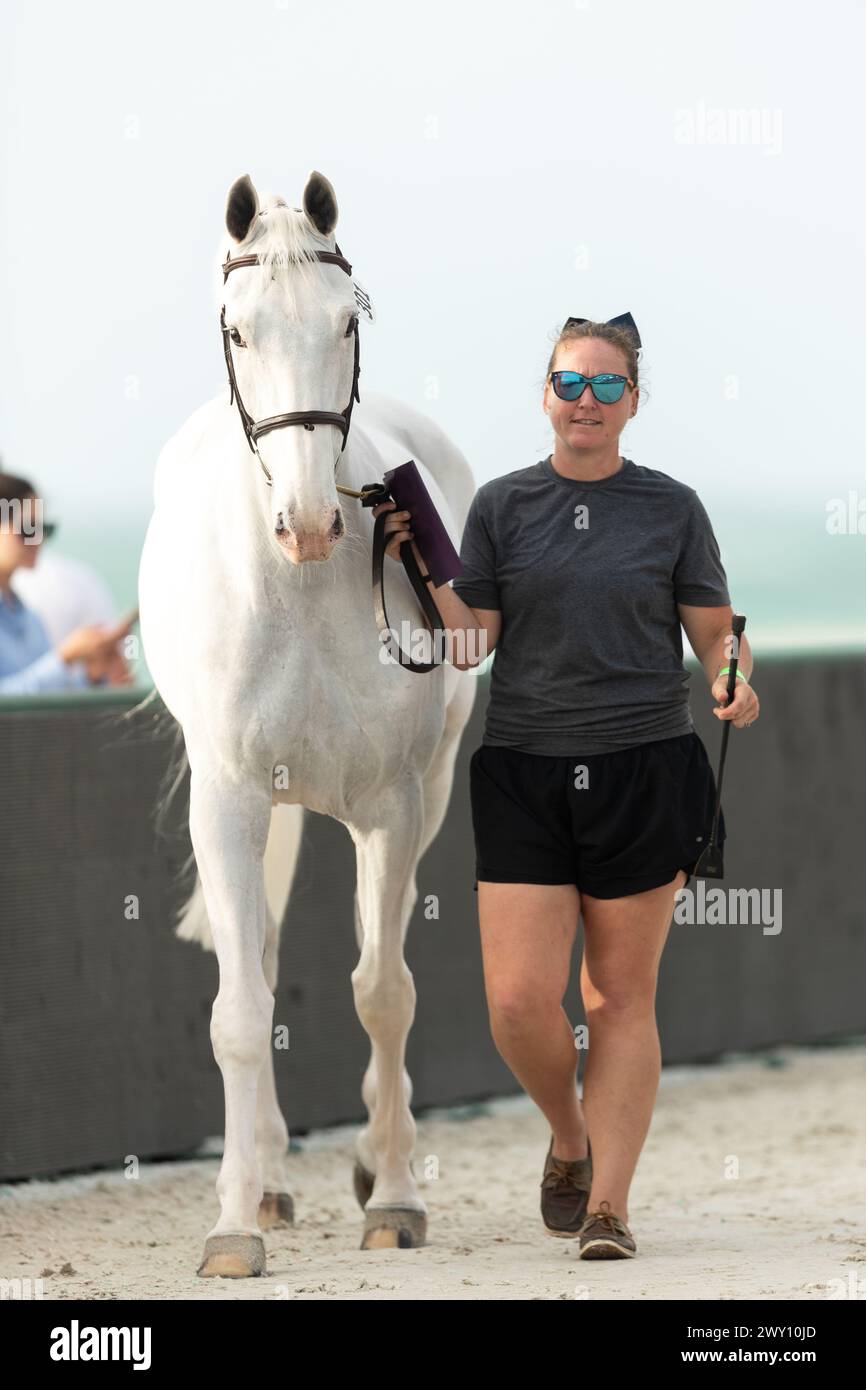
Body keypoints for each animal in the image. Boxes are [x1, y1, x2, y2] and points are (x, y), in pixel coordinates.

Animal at [136, 168, 475, 1273]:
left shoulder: (394, 809)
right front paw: (234, 1223)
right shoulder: (230, 804)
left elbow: (384, 990)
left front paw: (396, 1197)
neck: (303, 592)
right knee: (266, 956)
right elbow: (242, 1010)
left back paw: (368, 1163)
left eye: (345, 321)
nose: (312, 522)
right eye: (239, 328)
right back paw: (272, 1178)